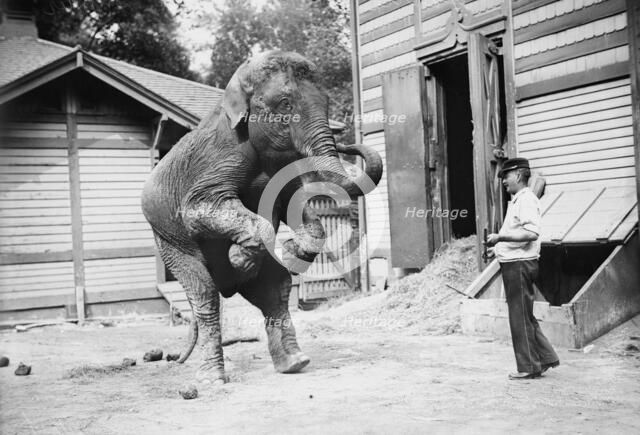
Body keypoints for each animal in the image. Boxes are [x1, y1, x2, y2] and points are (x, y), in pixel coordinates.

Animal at [141, 50, 383, 385]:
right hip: (169, 242)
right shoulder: (217, 159)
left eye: (327, 102)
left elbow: (296, 204)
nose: (347, 141)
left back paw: (294, 362)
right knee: (205, 294)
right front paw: (240, 257)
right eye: (285, 104)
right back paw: (212, 379)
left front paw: (278, 254)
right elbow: (198, 209)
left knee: (275, 289)